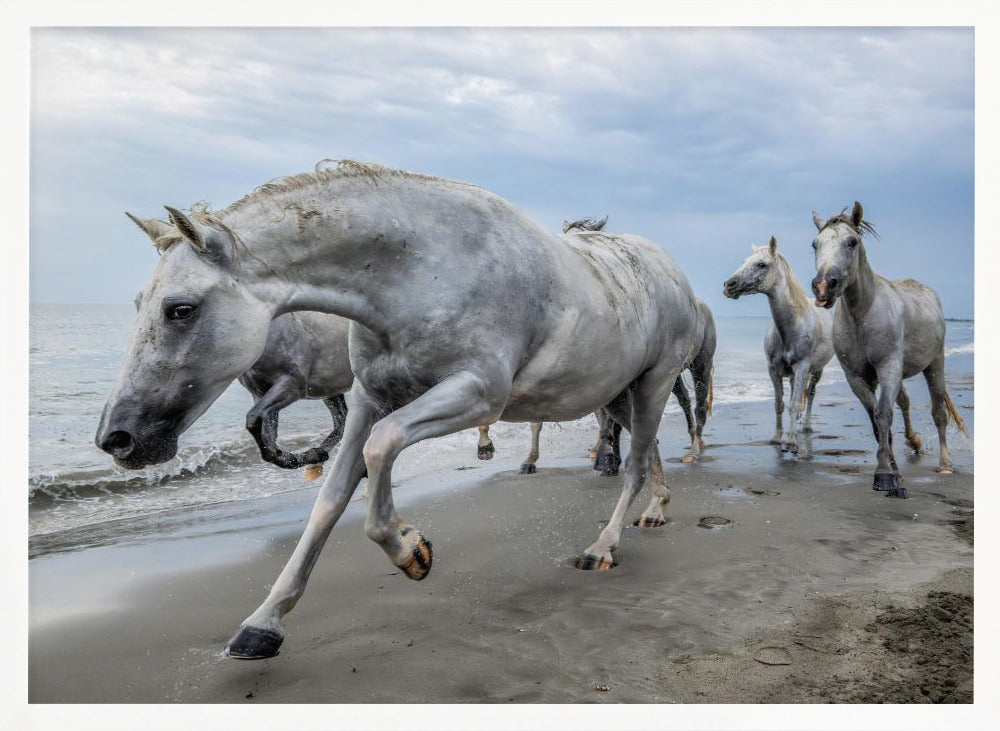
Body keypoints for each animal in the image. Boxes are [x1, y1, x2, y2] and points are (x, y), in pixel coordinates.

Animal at [95, 162, 704, 664]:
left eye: (180, 309)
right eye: (139, 305)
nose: (117, 439)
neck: (422, 271)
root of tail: (672, 269)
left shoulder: (477, 394)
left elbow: (381, 446)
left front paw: (410, 549)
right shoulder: (369, 399)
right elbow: (331, 498)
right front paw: (263, 625)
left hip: (654, 383)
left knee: (633, 463)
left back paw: (602, 548)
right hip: (619, 393)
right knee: (647, 451)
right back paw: (657, 511)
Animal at [812, 200, 968, 498]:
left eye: (852, 242)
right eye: (815, 244)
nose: (824, 286)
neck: (863, 314)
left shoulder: (888, 368)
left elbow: (883, 414)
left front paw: (884, 475)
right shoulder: (857, 377)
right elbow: (876, 421)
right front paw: (894, 473)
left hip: (935, 364)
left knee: (938, 412)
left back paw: (945, 464)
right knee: (905, 403)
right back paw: (914, 442)